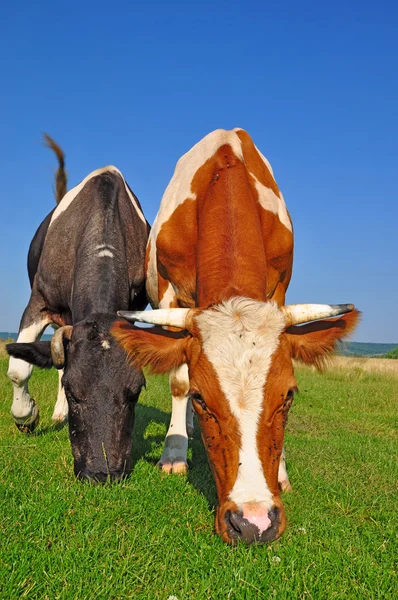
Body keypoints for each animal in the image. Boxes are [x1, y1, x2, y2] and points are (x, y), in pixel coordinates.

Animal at [6, 136, 149, 482]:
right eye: (73, 391)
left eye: (136, 392)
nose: (101, 473)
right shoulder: (39, 300)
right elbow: (19, 367)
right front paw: (27, 418)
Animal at [112, 129, 360, 548]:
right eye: (202, 399)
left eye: (288, 396)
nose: (254, 521)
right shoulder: (169, 293)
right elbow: (179, 380)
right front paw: (174, 452)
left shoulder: (279, 288)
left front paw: (281, 472)